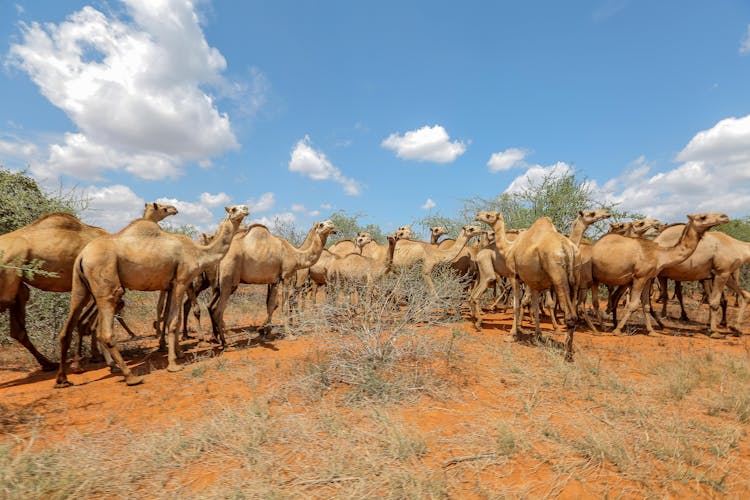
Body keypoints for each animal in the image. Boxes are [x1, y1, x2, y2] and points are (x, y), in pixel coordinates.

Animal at [0, 201, 178, 370]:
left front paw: (95, 356)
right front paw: (101, 357)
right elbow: (93, 322)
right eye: (162, 208)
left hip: (18, 288)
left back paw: (49, 364)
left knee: (18, 329)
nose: (174, 209)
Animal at [56, 203, 250, 386]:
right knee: (104, 331)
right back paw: (129, 376)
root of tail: (82, 256)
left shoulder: (170, 285)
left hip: (80, 287)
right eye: (234, 209)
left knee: (67, 328)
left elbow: (172, 317)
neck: (198, 253)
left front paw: (178, 353)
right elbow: (173, 321)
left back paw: (63, 378)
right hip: (106, 285)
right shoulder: (181, 281)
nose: (246, 209)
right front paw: (173, 364)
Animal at [206, 222, 334, 344]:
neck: (296, 255)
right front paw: (289, 335)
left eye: (330, 222)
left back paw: (215, 338)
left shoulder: (274, 281)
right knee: (218, 309)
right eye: (321, 224)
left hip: (218, 284)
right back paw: (224, 342)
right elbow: (284, 305)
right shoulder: (286, 276)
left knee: (211, 306)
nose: (332, 226)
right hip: (228, 280)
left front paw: (267, 333)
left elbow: (271, 305)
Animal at [592, 212, 728, 336]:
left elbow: (646, 305)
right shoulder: (639, 277)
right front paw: (617, 330)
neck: (660, 254)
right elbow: (633, 304)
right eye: (703, 217)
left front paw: (651, 331)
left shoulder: (648, 278)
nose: (724, 216)